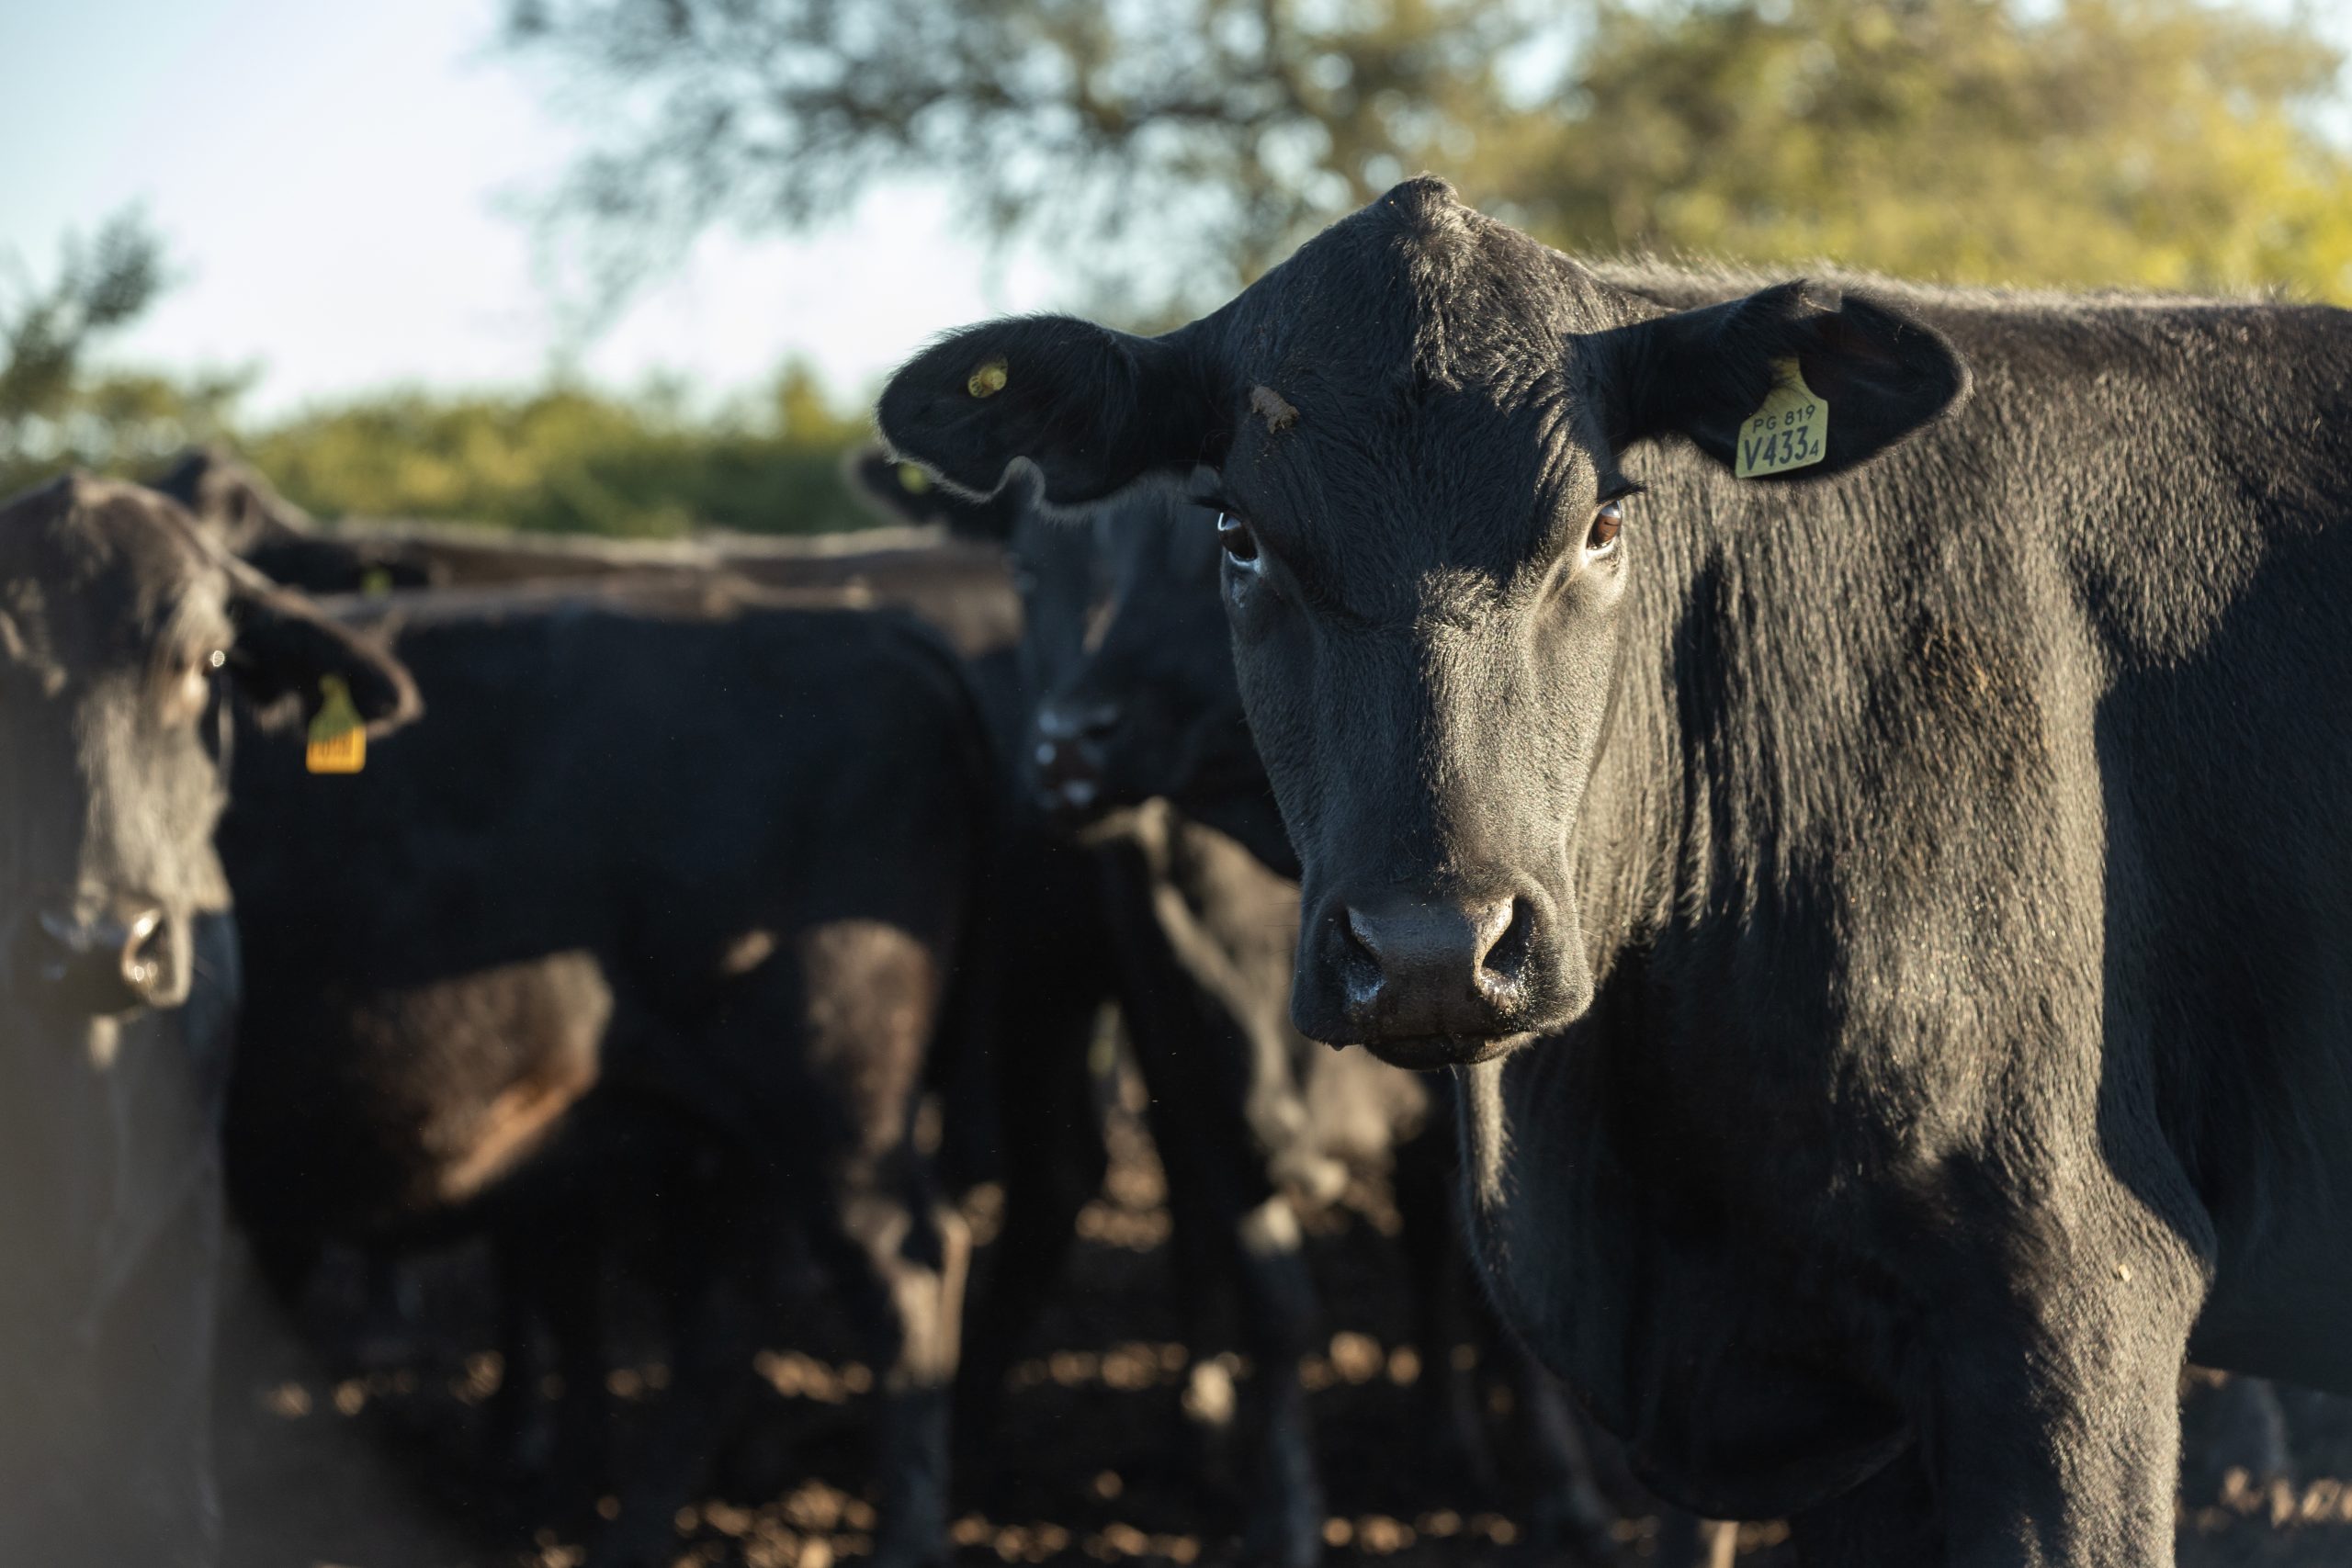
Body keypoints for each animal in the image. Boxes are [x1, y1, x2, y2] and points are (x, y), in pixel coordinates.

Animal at [216, 581, 988, 1568]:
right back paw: (632, 1533)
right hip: (722, 1139)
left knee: (906, 1271)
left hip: (833, 1106)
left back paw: (902, 1544)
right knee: (722, 1321)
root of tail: (878, 626)